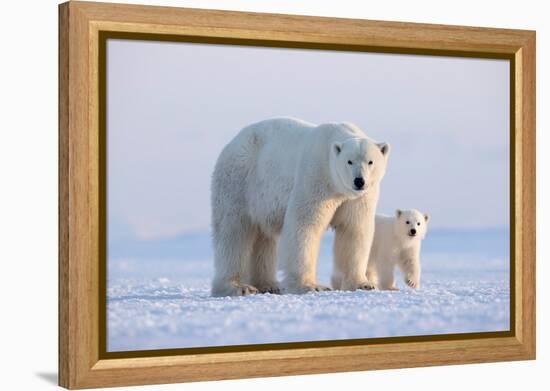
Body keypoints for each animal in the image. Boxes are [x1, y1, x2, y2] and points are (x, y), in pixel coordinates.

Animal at [211, 118, 392, 296]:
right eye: (349, 161)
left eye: (370, 162)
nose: (359, 181)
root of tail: (231, 144)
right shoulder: (316, 178)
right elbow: (304, 225)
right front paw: (311, 286)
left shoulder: (357, 198)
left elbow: (354, 229)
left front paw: (363, 284)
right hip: (239, 181)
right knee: (233, 232)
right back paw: (238, 287)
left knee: (263, 237)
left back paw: (269, 285)